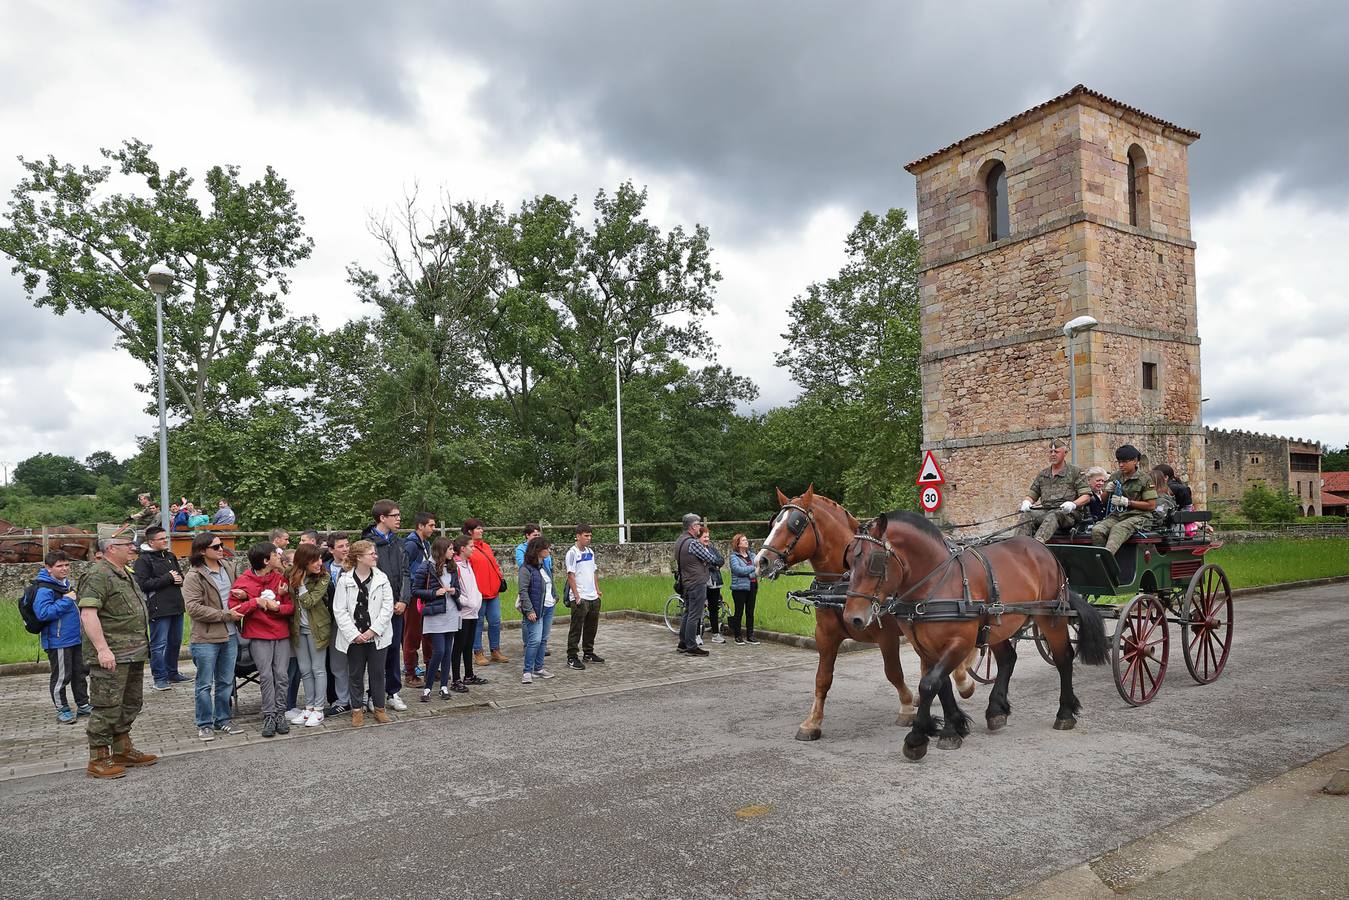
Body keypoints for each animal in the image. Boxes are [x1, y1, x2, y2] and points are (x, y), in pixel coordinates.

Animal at [755, 488, 976, 744]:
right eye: (773, 522)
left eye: (795, 524)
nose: (760, 561)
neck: (841, 585)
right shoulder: (825, 636)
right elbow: (822, 679)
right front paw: (812, 722)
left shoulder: (886, 636)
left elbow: (893, 673)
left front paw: (906, 708)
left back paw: (963, 681)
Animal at [847, 512, 1100, 761]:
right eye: (848, 559)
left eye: (874, 561)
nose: (852, 618)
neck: (936, 582)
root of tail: (1043, 549)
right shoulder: (924, 647)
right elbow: (941, 684)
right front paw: (953, 728)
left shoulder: (960, 642)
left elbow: (929, 684)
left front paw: (917, 738)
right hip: (996, 626)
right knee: (1008, 658)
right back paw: (996, 710)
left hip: (1050, 618)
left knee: (1063, 658)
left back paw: (1065, 713)